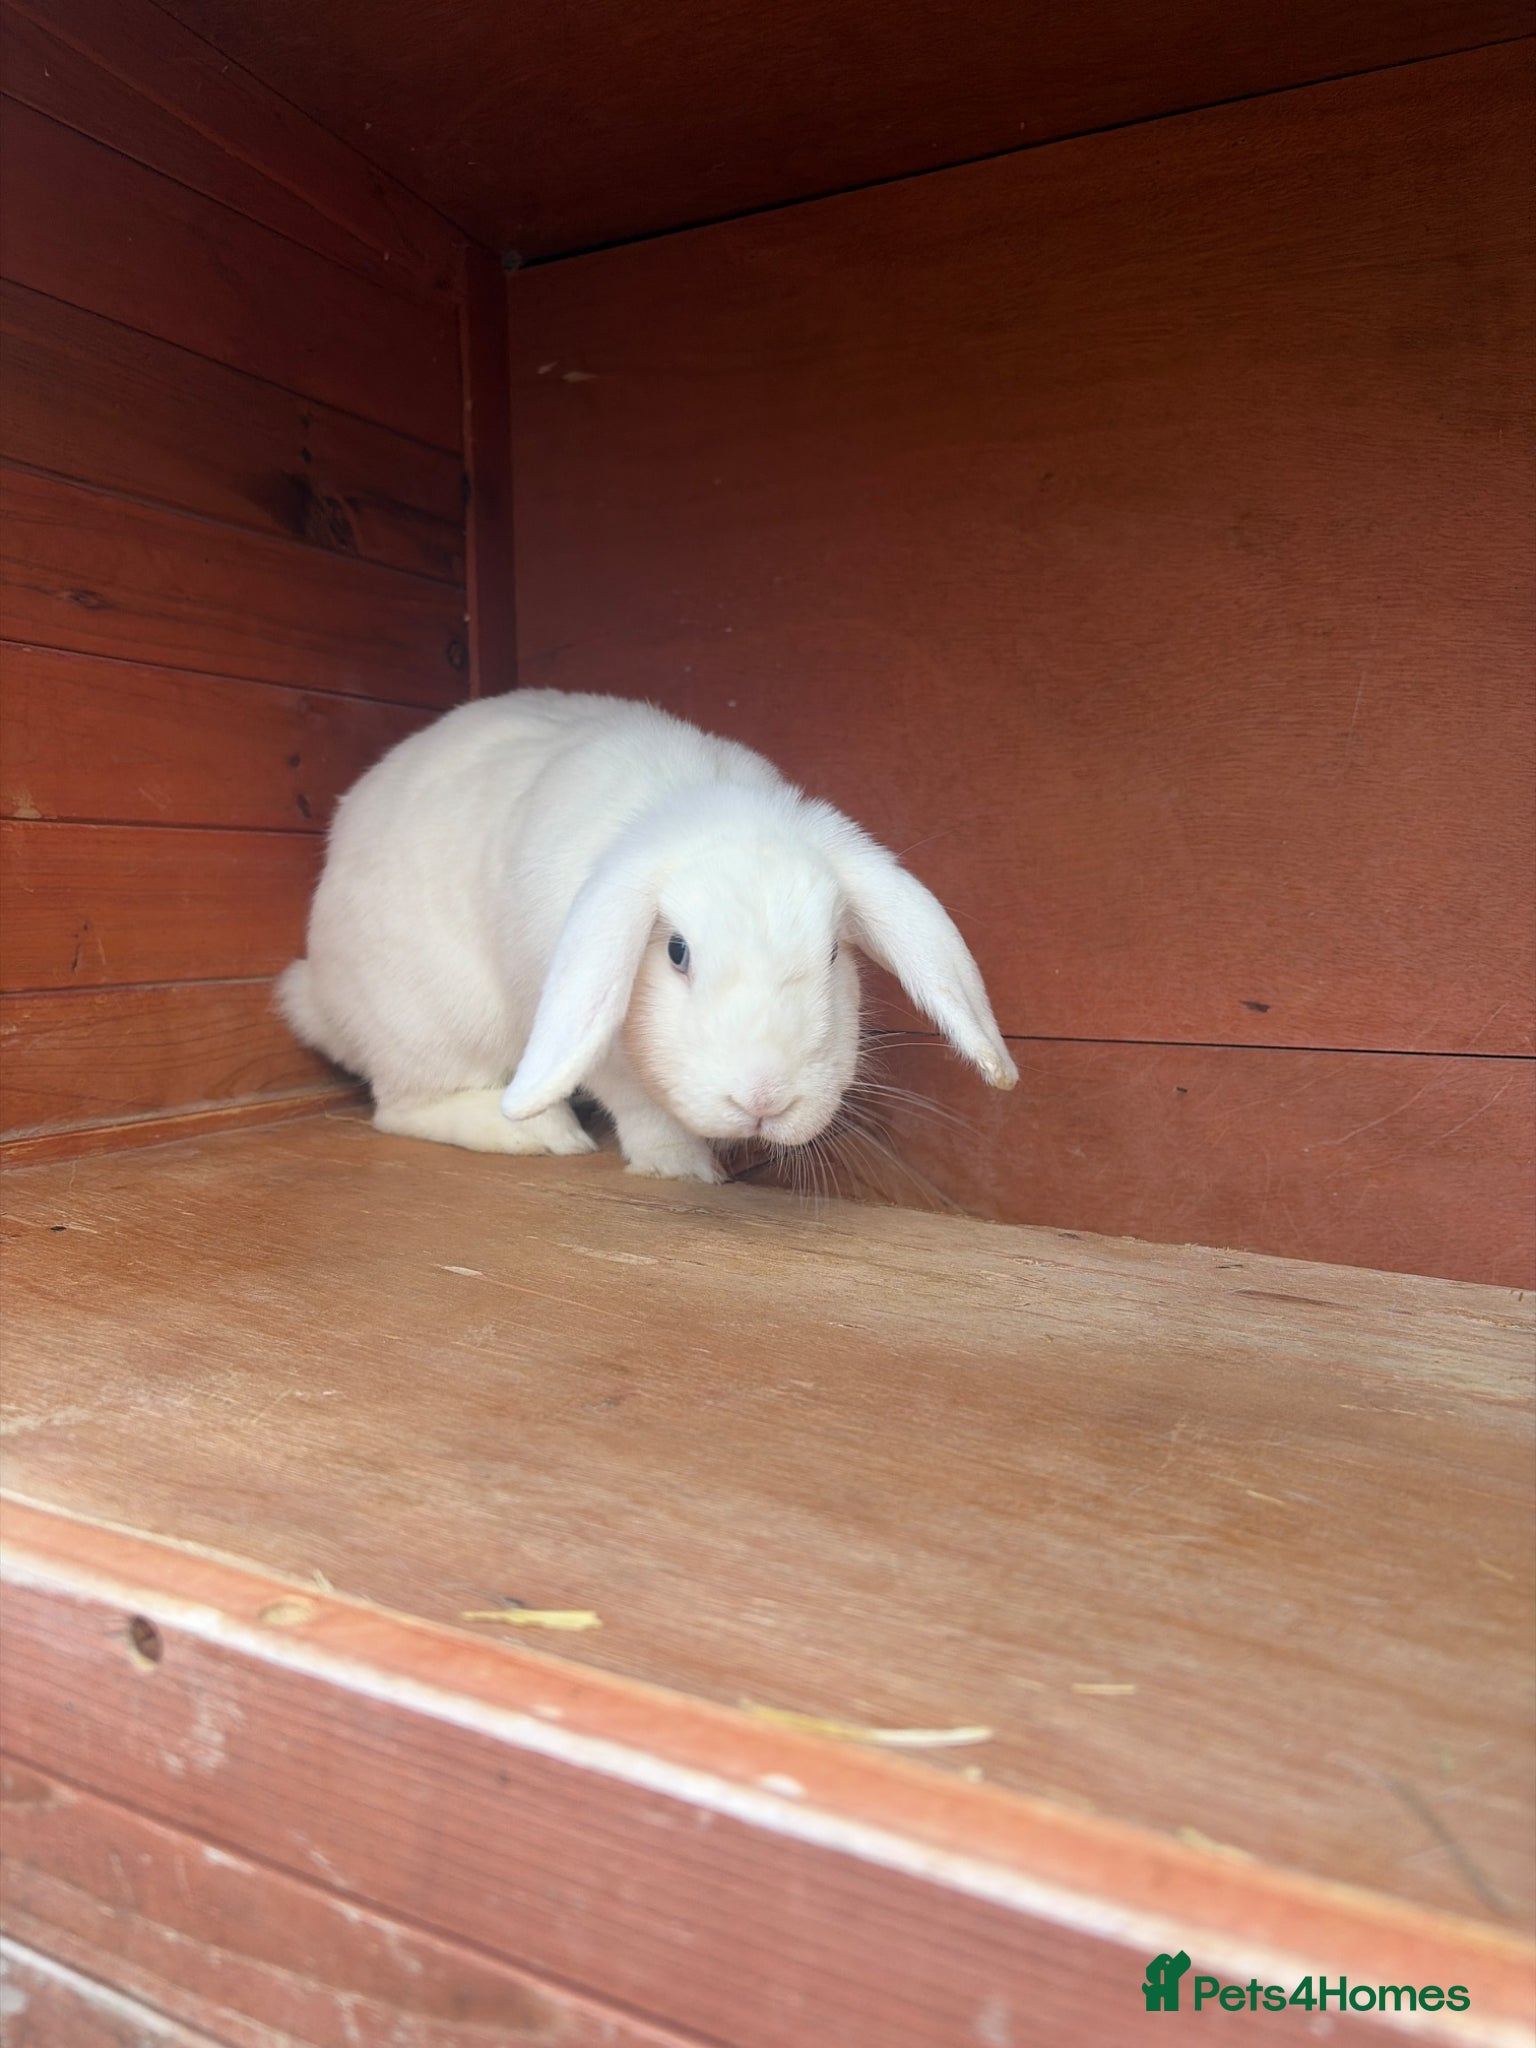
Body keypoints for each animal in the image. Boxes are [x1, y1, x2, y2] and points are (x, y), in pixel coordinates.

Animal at [277, 689, 1016, 1183]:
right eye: (677, 952)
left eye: (833, 953)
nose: (764, 1100)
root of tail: (317, 996)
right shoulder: (597, 1041)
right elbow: (641, 1107)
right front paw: (685, 1167)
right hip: (435, 1022)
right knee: (403, 1108)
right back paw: (538, 1134)